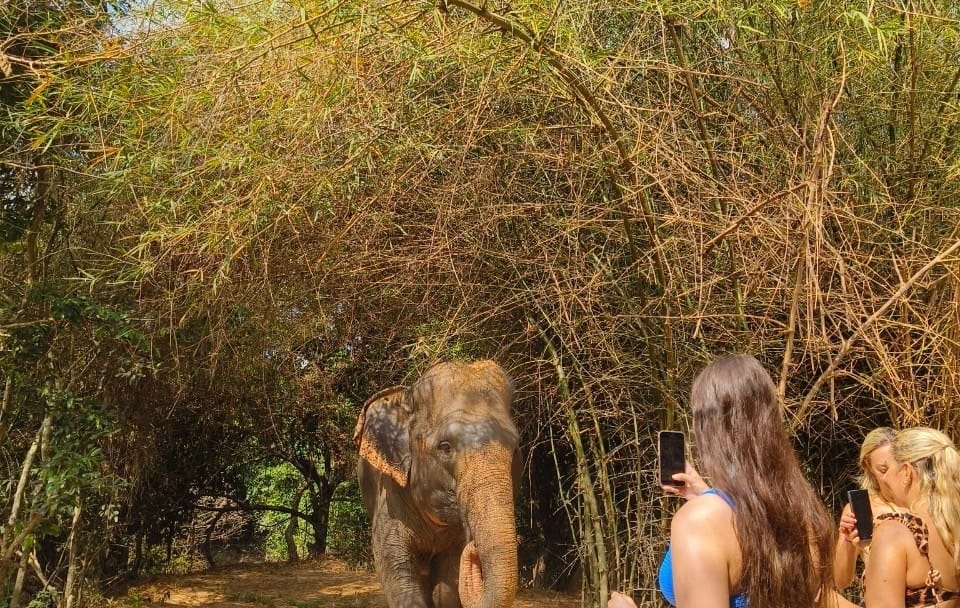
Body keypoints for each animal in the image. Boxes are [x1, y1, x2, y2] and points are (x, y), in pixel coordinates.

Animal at [353, 360, 520, 608]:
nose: (473, 545)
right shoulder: (390, 498)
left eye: (515, 447)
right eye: (445, 447)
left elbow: (447, 585)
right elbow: (394, 569)